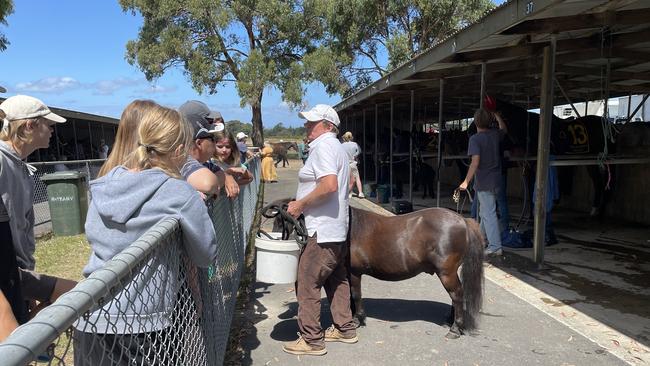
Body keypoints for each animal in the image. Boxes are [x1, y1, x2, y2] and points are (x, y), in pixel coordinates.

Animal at [266, 202, 484, 338]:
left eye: (282, 220)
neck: (349, 228)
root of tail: (463, 220)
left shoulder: (354, 272)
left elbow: (355, 294)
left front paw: (357, 319)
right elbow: (349, 296)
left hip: (446, 273)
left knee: (457, 295)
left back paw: (455, 328)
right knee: (456, 296)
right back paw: (450, 320)